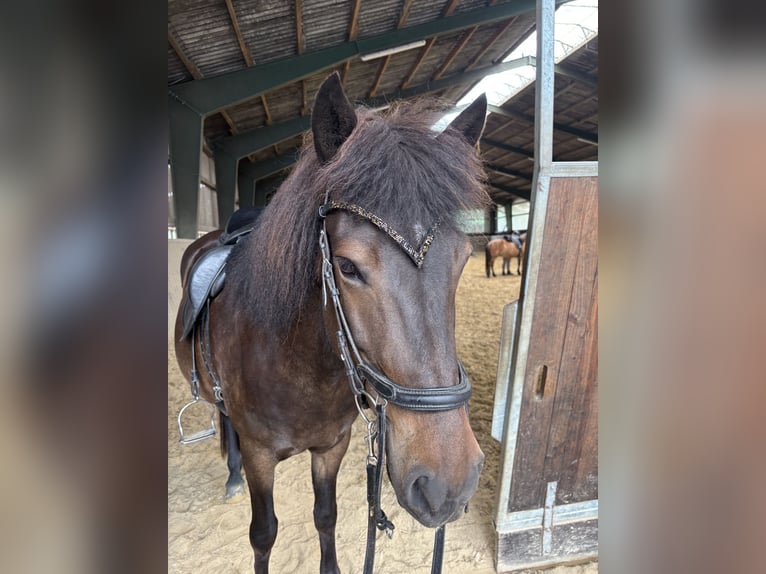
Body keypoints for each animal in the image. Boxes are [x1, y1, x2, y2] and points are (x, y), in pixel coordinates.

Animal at [174, 72, 489, 574]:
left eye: (461, 260)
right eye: (347, 266)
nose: (447, 485)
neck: (298, 369)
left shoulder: (332, 447)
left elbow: (327, 516)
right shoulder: (262, 455)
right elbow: (263, 534)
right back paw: (232, 475)